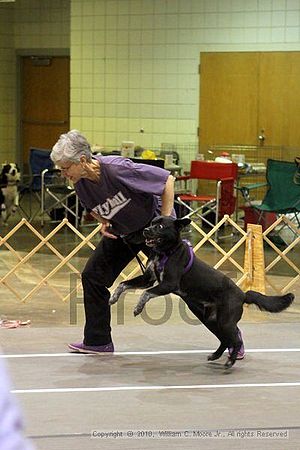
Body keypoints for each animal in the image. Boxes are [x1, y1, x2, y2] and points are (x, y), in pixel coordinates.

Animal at [109, 216, 294, 368]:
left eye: (160, 226)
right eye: (151, 223)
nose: (146, 230)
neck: (166, 252)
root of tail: (243, 295)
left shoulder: (168, 284)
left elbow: (146, 293)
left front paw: (137, 308)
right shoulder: (148, 279)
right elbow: (124, 284)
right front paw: (113, 298)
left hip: (225, 321)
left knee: (234, 339)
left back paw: (231, 361)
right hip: (212, 320)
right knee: (225, 340)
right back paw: (216, 356)